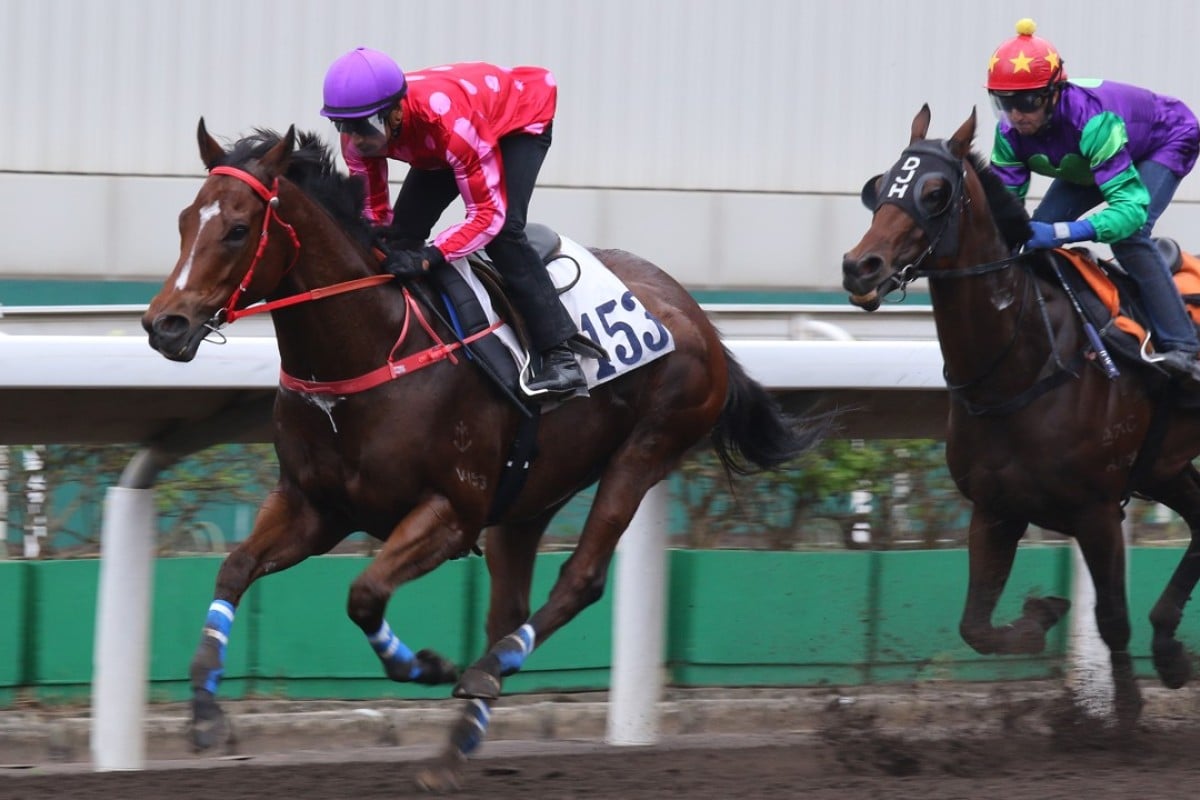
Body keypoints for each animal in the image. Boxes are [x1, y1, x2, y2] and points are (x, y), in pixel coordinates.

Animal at [140, 118, 825, 786]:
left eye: (237, 229)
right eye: (182, 220)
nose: (165, 325)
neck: (371, 349)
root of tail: (697, 315)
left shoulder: (451, 512)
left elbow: (364, 594)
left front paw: (430, 665)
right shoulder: (316, 506)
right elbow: (234, 568)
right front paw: (205, 710)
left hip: (646, 451)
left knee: (580, 579)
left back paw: (488, 669)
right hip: (531, 495)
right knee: (509, 606)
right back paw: (456, 746)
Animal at [840, 104, 1200, 734]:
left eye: (935, 192)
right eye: (882, 186)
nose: (861, 267)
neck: (1023, 363)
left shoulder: (1096, 510)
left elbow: (1111, 619)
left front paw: (1125, 715)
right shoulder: (995, 507)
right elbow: (976, 627)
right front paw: (1042, 616)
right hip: (1166, 464)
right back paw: (1169, 650)